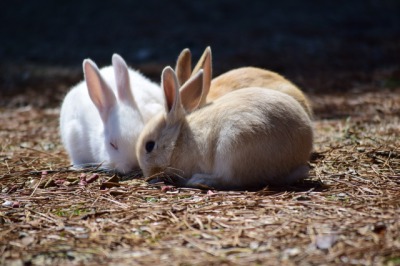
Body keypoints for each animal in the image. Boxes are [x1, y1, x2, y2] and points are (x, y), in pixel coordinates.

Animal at [136, 67, 314, 190]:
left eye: (149, 146)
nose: (149, 177)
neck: (178, 139)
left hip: (232, 148)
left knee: (232, 180)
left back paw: (198, 180)